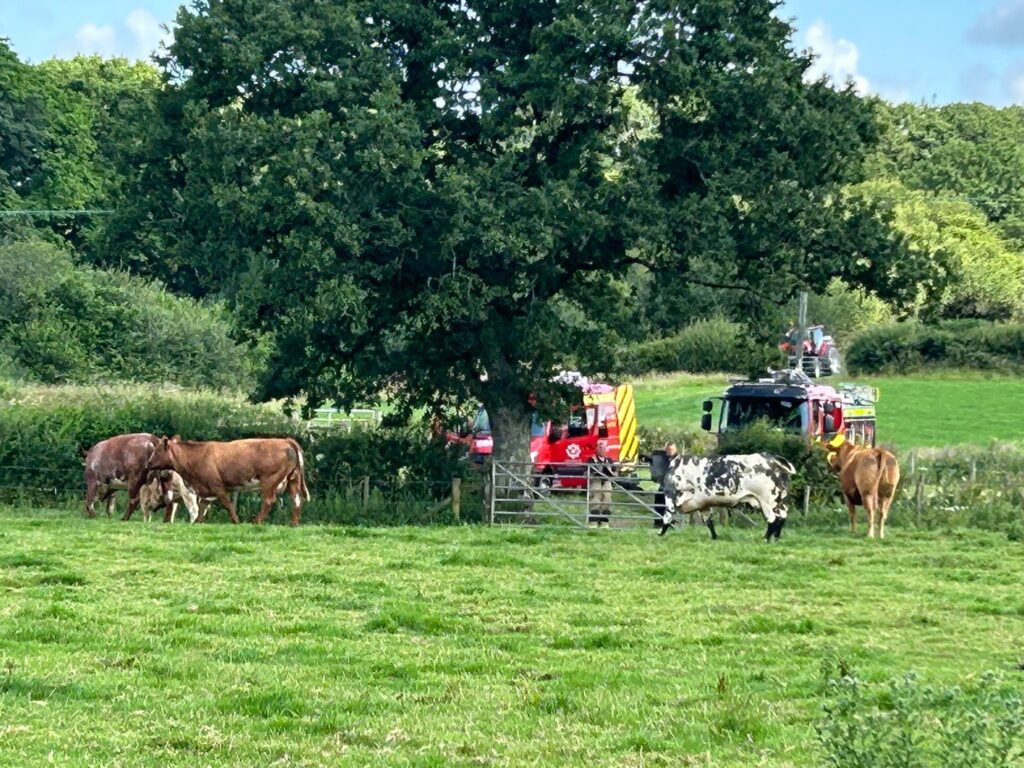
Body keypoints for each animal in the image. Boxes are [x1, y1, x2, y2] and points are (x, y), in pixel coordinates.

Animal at [146, 436, 310, 526]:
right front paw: (197, 522)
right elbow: (203, 507)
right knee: (296, 500)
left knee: (269, 501)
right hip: (292, 479)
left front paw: (236, 521)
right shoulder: (206, 488)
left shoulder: (217, 486)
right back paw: (293, 524)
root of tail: (285, 441)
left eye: (157, 451)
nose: (148, 463)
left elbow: (228, 504)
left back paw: (256, 522)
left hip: (270, 481)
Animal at [660, 453, 797, 541]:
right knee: (782, 517)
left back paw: (766, 539)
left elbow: (666, 518)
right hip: (779, 501)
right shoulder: (703, 504)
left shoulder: (670, 497)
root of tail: (772, 457)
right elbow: (708, 521)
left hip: (767, 500)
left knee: (773, 519)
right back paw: (776, 538)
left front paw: (660, 535)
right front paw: (714, 537)